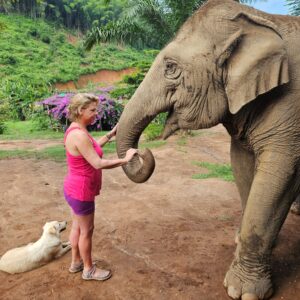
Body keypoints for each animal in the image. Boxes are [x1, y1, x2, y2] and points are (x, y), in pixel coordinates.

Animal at [115, 1, 300, 298]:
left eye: (170, 67)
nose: (143, 153)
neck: (261, 20)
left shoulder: (291, 107)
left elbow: (280, 174)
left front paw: (242, 291)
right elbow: (242, 163)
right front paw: (241, 240)